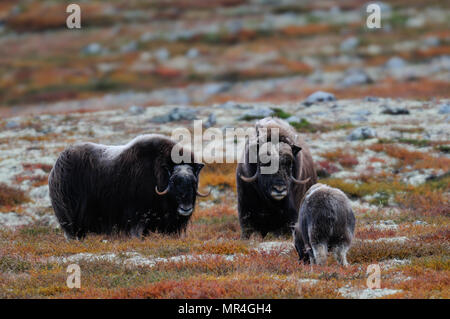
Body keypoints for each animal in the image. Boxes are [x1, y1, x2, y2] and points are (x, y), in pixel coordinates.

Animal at [48, 134, 210, 239]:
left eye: (193, 182)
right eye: (174, 182)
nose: (186, 208)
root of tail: (56, 167)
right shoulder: (137, 216)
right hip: (69, 215)